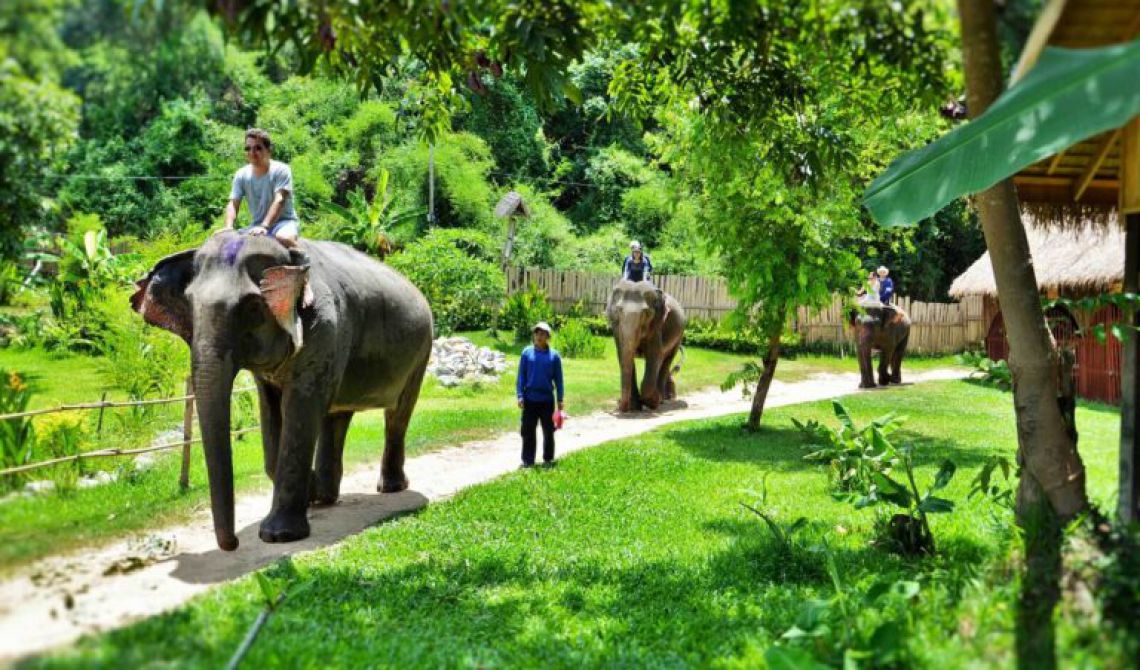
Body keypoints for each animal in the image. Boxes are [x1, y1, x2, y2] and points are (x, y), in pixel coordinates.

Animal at [131, 232, 433, 551]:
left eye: (252, 307)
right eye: (189, 305)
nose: (234, 543)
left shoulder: (324, 328)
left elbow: (299, 408)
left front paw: (279, 536)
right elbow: (271, 411)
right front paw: (308, 493)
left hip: (422, 350)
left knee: (398, 415)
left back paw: (390, 488)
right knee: (337, 416)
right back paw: (325, 496)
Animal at [606, 280, 684, 410]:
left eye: (646, 313)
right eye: (618, 310)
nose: (618, 402)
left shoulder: (656, 325)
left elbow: (654, 355)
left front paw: (652, 401)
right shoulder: (616, 328)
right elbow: (623, 354)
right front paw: (634, 407)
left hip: (679, 336)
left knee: (666, 359)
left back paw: (661, 399)